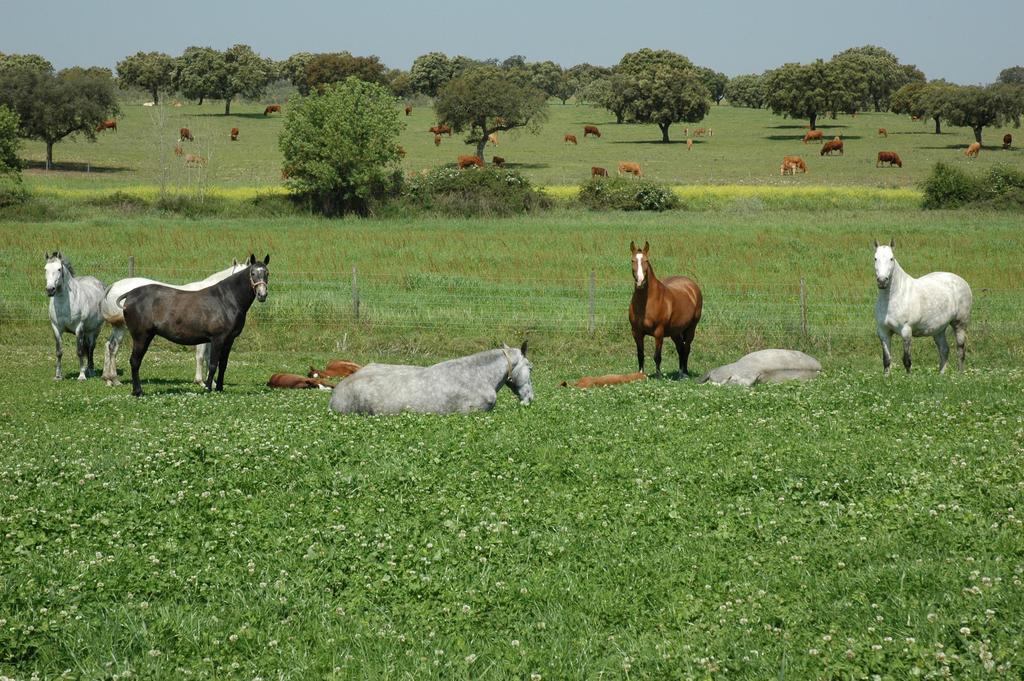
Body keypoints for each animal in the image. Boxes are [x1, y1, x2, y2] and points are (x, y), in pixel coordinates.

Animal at [99, 259, 247, 385]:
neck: (216, 296)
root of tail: (114, 286)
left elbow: (209, 357)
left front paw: (212, 383)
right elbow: (200, 356)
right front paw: (200, 381)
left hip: (119, 327)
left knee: (110, 347)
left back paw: (110, 379)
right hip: (124, 327)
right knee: (113, 348)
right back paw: (113, 379)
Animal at [120, 253, 268, 393]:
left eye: (267, 273)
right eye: (253, 273)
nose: (262, 295)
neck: (226, 299)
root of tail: (130, 294)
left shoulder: (229, 340)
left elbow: (223, 365)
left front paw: (219, 388)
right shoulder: (217, 339)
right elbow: (212, 364)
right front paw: (208, 388)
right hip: (141, 337)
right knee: (135, 361)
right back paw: (138, 391)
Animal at [622, 238, 704, 376]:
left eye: (646, 260)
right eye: (632, 260)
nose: (640, 281)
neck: (647, 303)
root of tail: (692, 286)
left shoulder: (659, 332)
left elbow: (657, 356)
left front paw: (659, 375)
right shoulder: (636, 332)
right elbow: (640, 355)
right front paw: (640, 374)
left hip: (691, 328)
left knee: (686, 348)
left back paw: (685, 373)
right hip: (675, 331)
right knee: (680, 348)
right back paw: (680, 372)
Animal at [872, 238, 974, 374]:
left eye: (891, 258)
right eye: (875, 258)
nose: (882, 281)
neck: (893, 298)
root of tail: (962, 281)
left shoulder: (906, 331)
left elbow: (907, 360)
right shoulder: (883, 332)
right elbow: (887, 360)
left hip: (960, 324)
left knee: (960, 350)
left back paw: (959, 374)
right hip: (939, 329)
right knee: (944, 350)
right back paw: (941, 375)